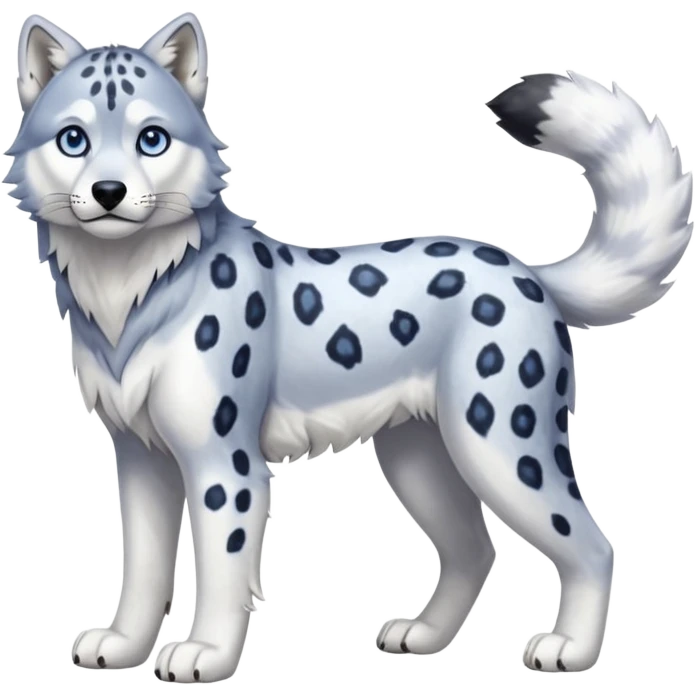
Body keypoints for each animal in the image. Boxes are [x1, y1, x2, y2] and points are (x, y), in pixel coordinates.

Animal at [8, 11, 693, 683]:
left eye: (152, 138)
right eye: (73, 139)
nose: (109, 192)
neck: (128, 292)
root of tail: (524, 269)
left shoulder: (224, 465)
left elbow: (222, 571)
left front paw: (206, 654)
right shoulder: (141, 456)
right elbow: (144, 568)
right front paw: (123, 645)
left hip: (500, 447)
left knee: (590, 543)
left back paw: (570, 649)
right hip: (420, 457)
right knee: (475, 548)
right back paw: (424, 635)